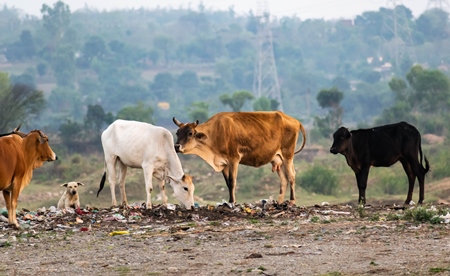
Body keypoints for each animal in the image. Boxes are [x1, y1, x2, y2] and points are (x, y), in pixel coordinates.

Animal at [172, 110, 306, 205]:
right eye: (177, 133)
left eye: (190, 133)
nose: (177, 146)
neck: (215, 133)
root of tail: (296, 121)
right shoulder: (224, 163)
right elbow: (227, 183)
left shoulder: (234, 159)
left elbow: (232, 181)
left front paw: (232, 202)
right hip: (278, 159)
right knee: (284, 179)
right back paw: (279, 202)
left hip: (287, 156)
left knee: (291, 176)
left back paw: (292, 201)